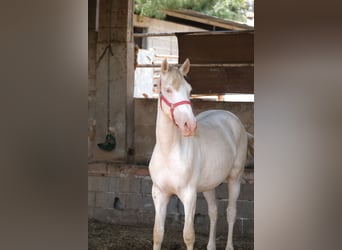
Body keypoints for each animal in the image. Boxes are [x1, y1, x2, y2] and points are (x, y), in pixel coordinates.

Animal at [149, 59, 248, 250]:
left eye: (189, 90)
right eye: (168, 90)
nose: (190, 125)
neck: (169, 152)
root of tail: (232, 117)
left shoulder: (189, 196)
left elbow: (188, 236)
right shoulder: (159, 194)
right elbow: (158, 233)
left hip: (234, 179)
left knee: (231, 212)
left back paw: (229, 246)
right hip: (209, 186)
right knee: (214, 212)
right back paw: (211, 246)